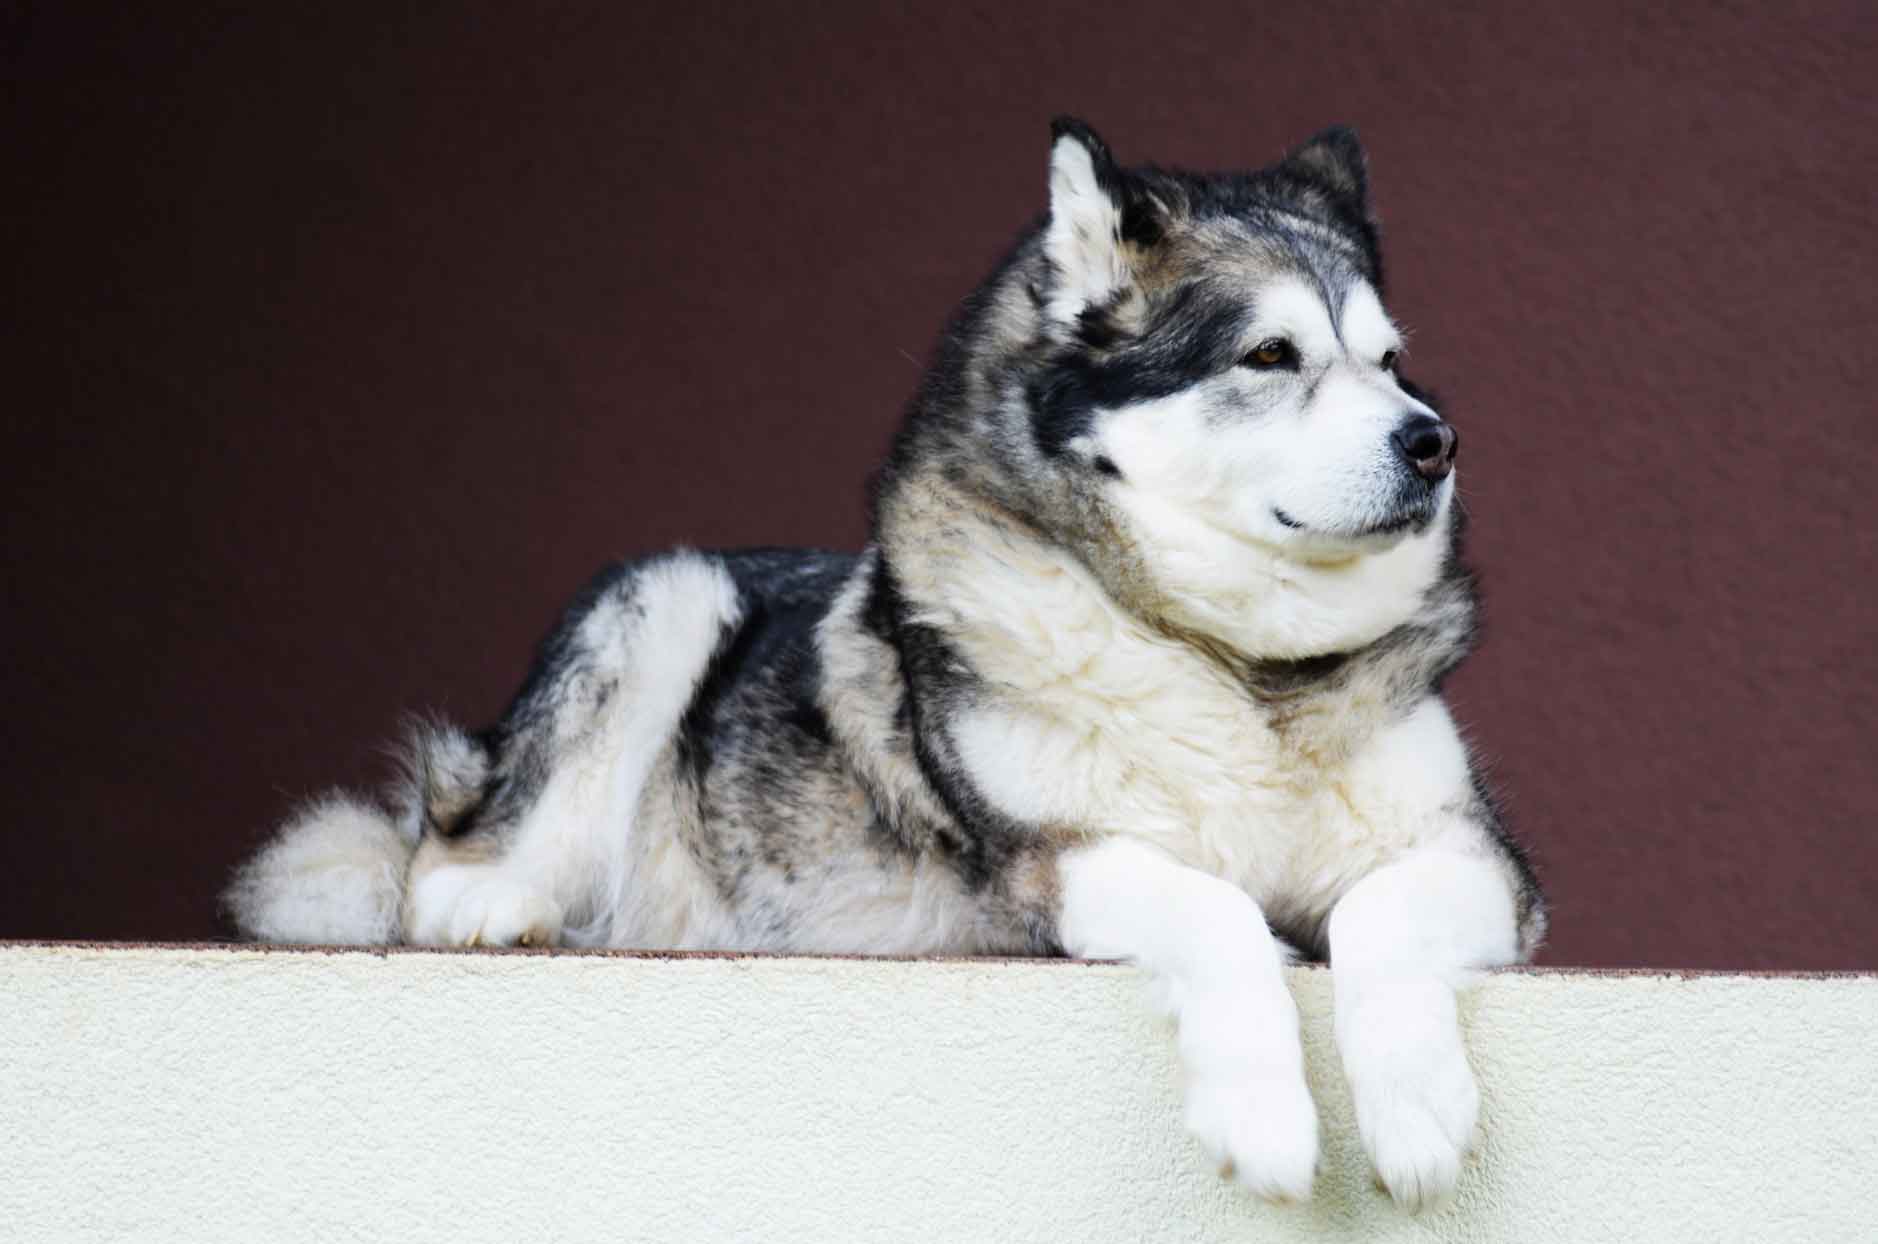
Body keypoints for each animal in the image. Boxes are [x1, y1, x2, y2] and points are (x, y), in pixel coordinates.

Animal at [227, 122, 1539, 1210]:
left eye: (1389, 360)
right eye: (1270, 354)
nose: (1435, 441)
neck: (1232, 662)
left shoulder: (1486, 866)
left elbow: (1378, 906)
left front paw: (1418, 1107)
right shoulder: (1051, 864)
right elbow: (1215, 908)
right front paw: (1265, 1113)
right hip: (668, 592)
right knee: (441, 861)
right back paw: (500, 901)